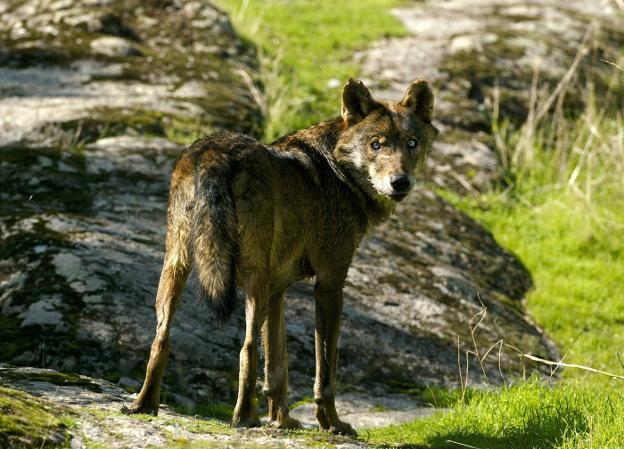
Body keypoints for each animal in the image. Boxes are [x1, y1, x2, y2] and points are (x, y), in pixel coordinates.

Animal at [119, 78, 436, 434]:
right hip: (251, 279)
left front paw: (282, 420)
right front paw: (331, 423)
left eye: (411, 143)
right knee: (246, 347)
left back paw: (144, 405)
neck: (338, 170)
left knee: (161, 338)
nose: (400, 182)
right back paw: (244, 418)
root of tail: (214, 150)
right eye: (376, 145)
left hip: (177, 267)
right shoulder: (330, 283)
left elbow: (276, 366)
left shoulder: (277, 290)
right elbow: (325, 369)